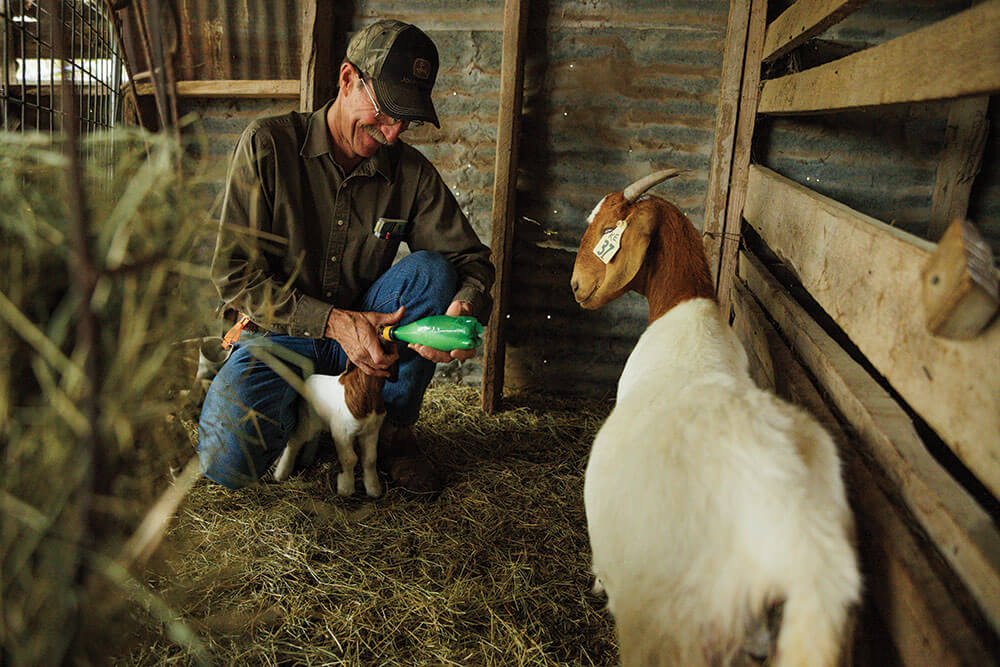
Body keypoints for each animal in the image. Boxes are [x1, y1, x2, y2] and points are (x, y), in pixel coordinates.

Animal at [274, 362, 386, 498]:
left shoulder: (371, 431)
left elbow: (370, 459)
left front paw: (374, 489)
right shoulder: (341, 432)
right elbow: (349, 459)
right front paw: (346, 488)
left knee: (313, 437)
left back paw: (307, 459)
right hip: (307, 420)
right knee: (294, 441)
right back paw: (281, 473)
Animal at [572, 171, 860, 667]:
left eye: (608, 227)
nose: (574, 286)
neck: (687, 317)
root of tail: (798, 542)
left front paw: (596, 583)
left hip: (675, 628)